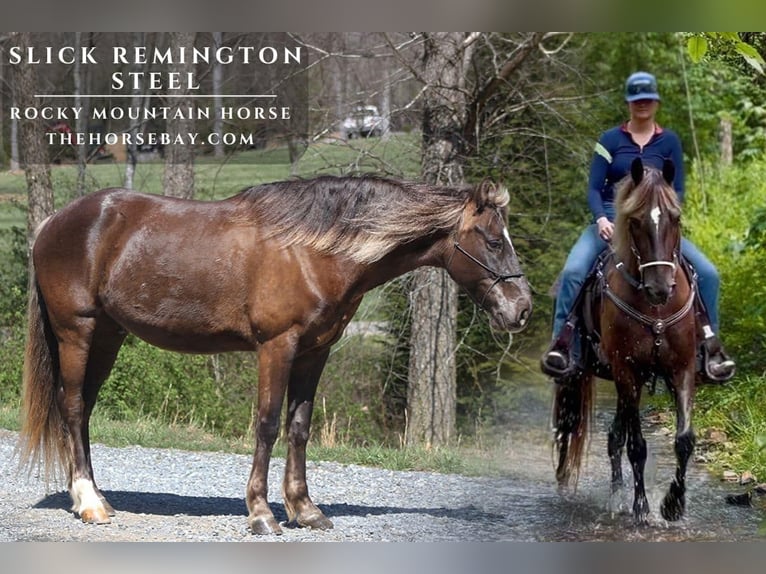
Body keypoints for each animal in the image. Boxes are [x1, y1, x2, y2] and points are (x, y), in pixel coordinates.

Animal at [19, 175, 533, 535]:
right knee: (73, 406)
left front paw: (305, 510)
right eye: (493, 240)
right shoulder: (276, 347)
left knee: (84, 411)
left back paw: (92, 496)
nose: (522, 309)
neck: (314, 252)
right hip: (77, 332)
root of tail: (52, 224)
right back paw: (89, 504)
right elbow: (267, 425)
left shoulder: (314, 352)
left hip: (109, 336)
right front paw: (262, 513)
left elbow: (299, 428)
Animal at [553, 158, 697, 524]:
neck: (655, 309)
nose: (659, 288)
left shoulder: (682, 369)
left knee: (614, 435)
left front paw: (673, 504)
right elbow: (638, 445)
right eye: (634, 221)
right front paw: (642, 508)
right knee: (574, 426)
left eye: (676, 217)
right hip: (590, 374)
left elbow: (684, 440)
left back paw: (619, 494)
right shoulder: (627, 370)